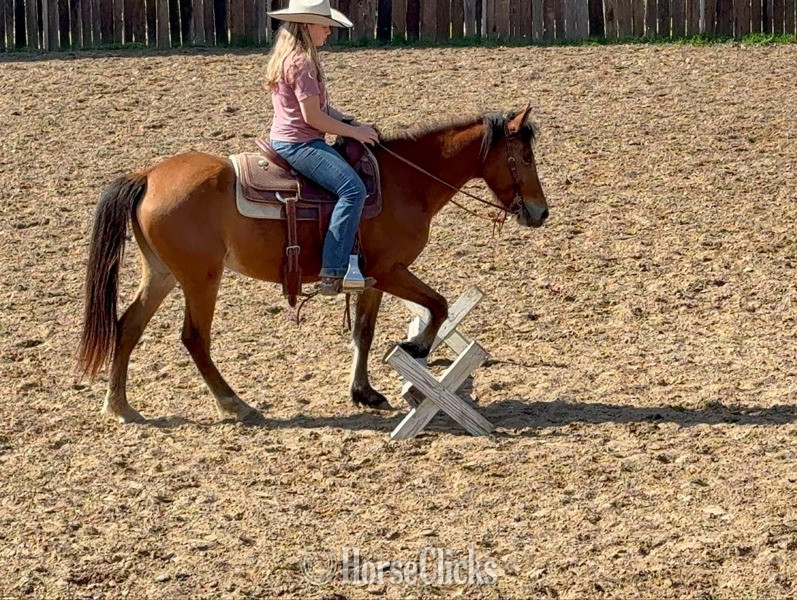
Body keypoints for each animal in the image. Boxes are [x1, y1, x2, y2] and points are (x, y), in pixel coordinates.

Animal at [77, 107, 549, 423]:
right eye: (525, 158)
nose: (541, 212)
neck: (405, 182)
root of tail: (147, 175)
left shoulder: (372, 279)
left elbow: (364, 333)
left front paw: (364, 392)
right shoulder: (392, 270)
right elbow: (439, 304)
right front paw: (415, 347)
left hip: (161, 273)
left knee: (128, 326)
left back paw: (119, 405)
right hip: (200, 278)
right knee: (194, 338)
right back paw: (234, 404)